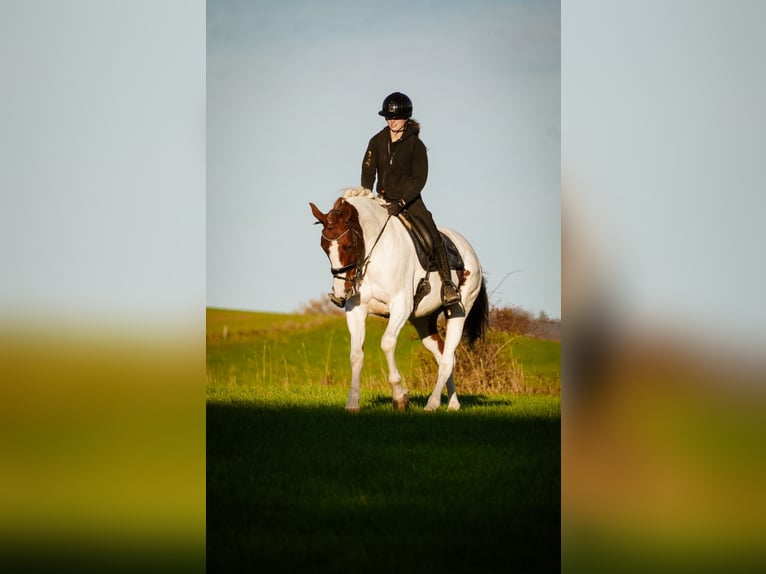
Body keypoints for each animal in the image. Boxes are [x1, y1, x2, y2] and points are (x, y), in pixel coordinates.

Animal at [309, 187, 489, 412]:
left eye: (349, 246)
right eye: (324, 247)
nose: (341, 292)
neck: (373, 253)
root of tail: (469, 250)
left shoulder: (400, 306)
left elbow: (387, 343)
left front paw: (400, 396)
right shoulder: (356, 310)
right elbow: (356, 354)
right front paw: (352, 403)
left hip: (458, 311)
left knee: (448, 359)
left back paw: (432, 404)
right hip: (423, 321)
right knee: (444, 356)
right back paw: (453, 404)